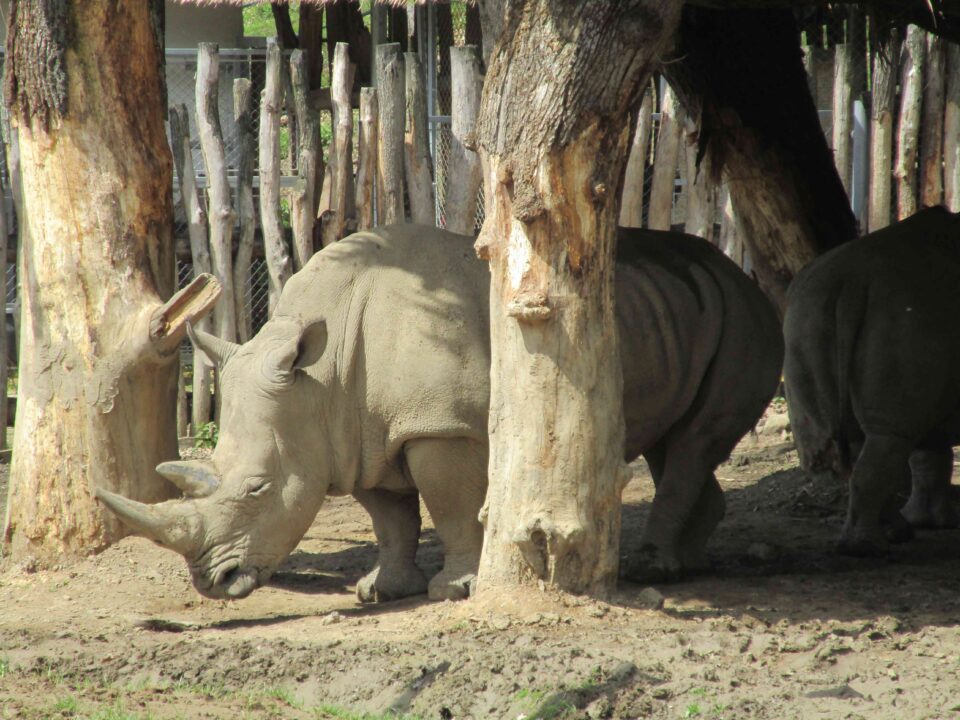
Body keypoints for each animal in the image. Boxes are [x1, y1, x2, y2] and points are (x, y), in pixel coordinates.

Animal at [98, 224, 782, 601]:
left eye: (259, 488)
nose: (213, 583)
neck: (321, 377)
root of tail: (743, 274)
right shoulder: (355, 434)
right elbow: (389, 516)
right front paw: (380, 591)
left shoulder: (439, 427)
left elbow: (448, 504)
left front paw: (456, 589)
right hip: (679, 309)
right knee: (677, 444)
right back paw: (690, 564)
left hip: (746, 316)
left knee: (691, 445)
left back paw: (656, 568)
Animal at [784, 206, 960, 556]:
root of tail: (851, 282)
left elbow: (930, 454)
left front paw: (935, 522)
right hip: (907, 315)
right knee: (887, 438)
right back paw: (867, 547)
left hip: (804, 315)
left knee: (870, 440)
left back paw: (894, 533)